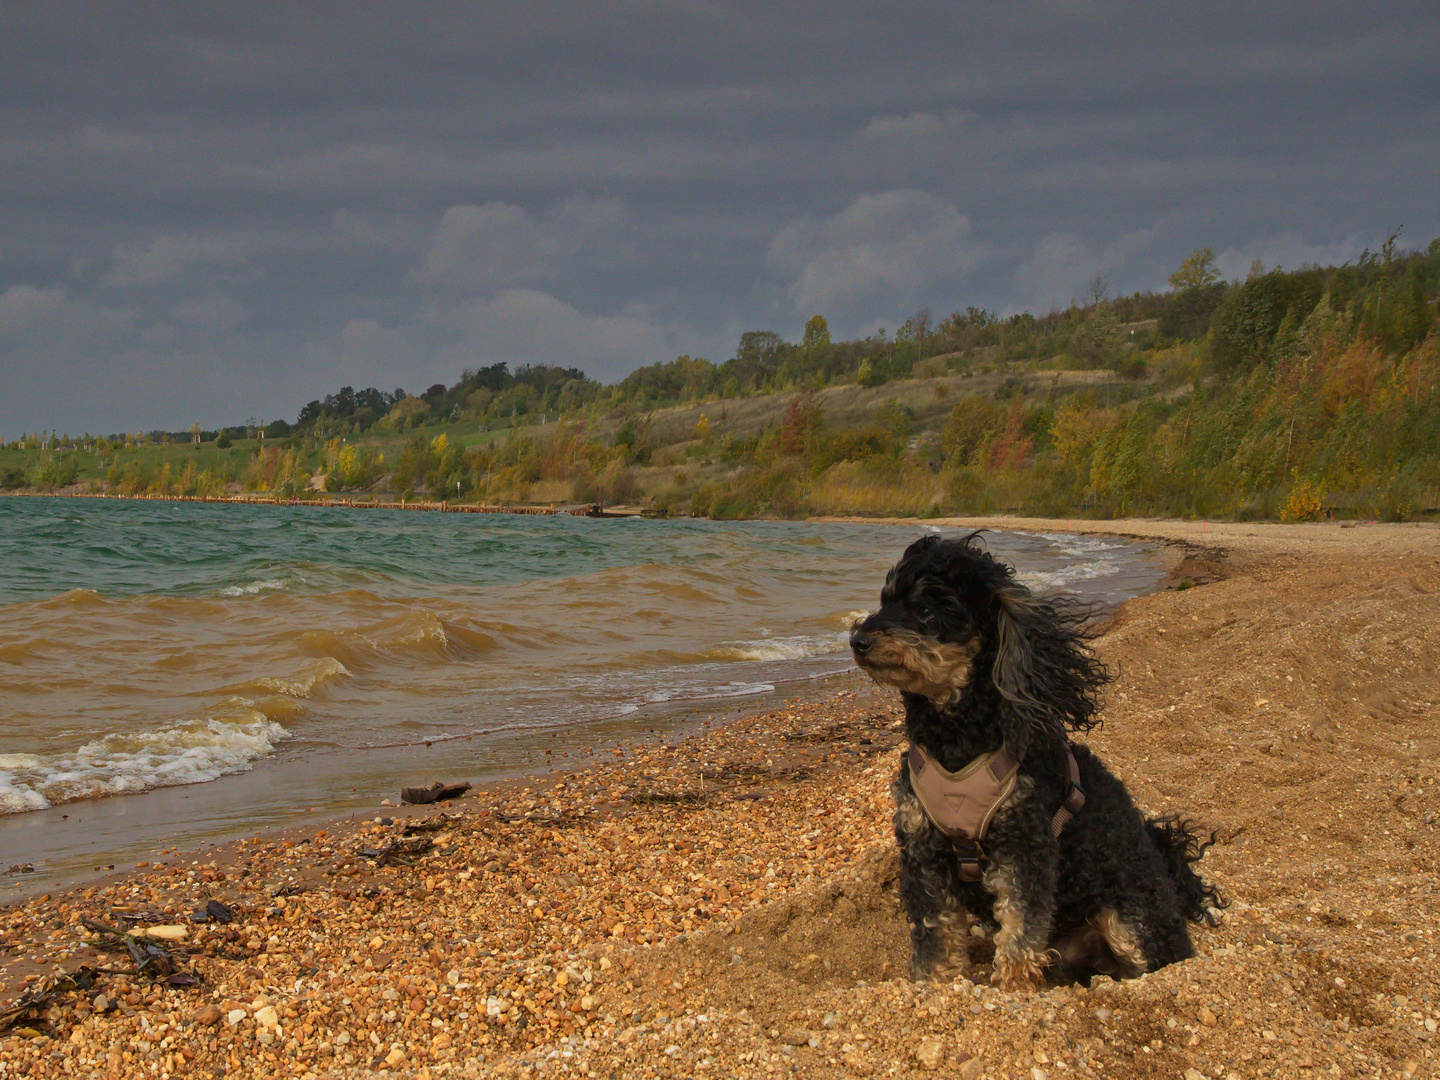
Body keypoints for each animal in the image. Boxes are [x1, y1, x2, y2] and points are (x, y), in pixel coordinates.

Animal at [846, 532, 1221, 990]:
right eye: (884, 602)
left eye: (926, 611)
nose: (858, 641)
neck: (955, 741)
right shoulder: (922, 847)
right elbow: (934, 934)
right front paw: (934, 984)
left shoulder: (1025, 846)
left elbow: (1021, 930)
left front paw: (1012, 986)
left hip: (1129, 915)